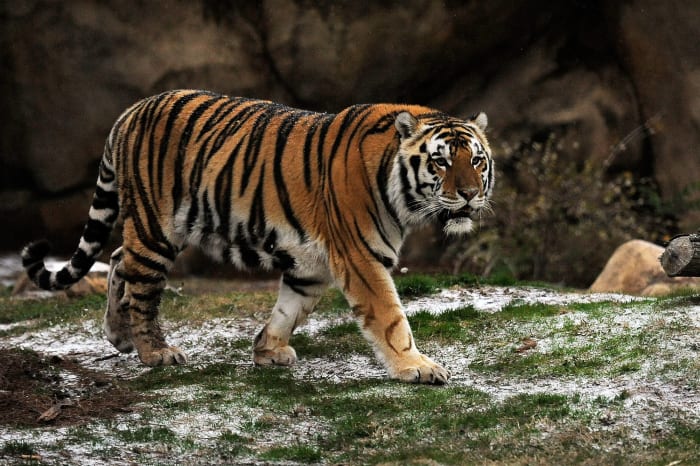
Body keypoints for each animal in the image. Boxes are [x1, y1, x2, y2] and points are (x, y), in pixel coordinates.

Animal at [21, 89, 493, 384]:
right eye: (441, 162)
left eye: (477, 161)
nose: (469, 194)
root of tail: (129, 111)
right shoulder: (361, 258)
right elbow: (391, 318)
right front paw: (417, 367)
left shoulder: (312, 265)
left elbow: (290, 308)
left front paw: (267, 350)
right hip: (157, 227)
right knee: (141, 284)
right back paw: (154, 352)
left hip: (157, 228)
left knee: (119, 258)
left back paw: (119, 336)